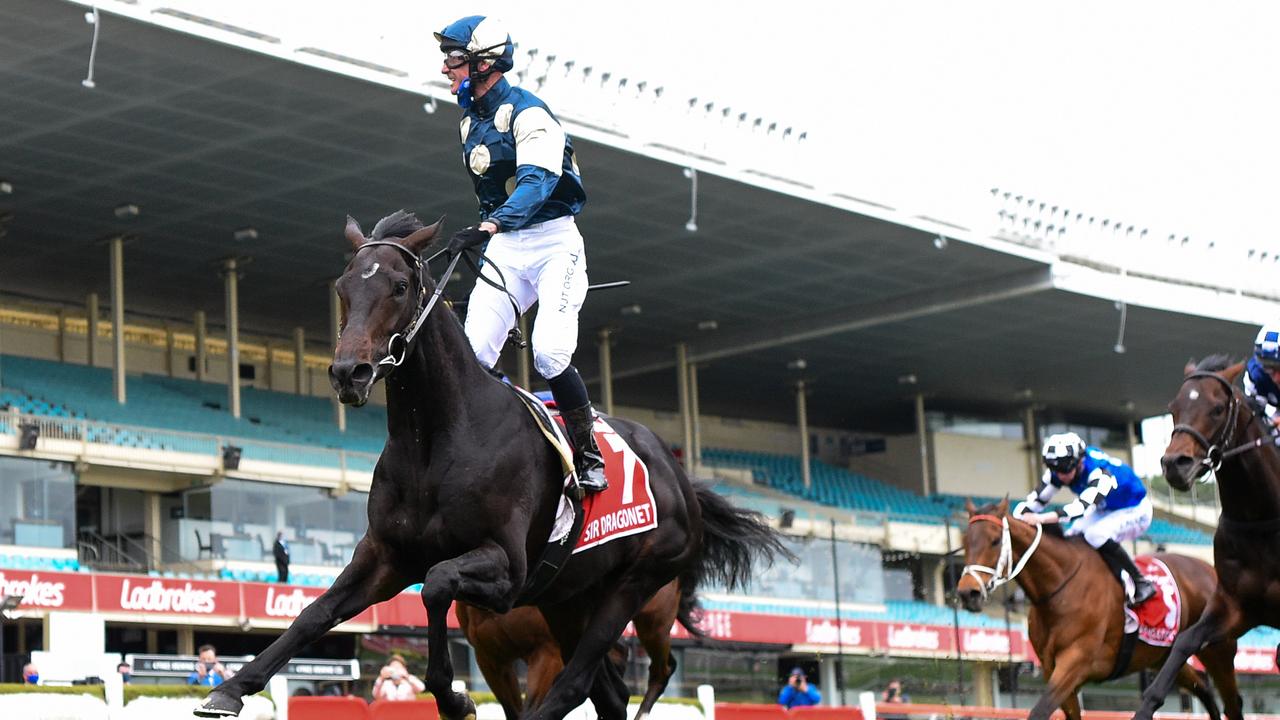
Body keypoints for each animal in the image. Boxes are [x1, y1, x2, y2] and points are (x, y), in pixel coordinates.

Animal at [197, 212, 788, 717]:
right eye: (344, 288)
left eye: (399, 286)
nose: (349, 372)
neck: (438, 440)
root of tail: (678, 473)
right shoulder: (387, 555)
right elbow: (313, 614)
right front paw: (230, 689)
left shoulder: (507, 570)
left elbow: (436, 584)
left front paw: (454, 697)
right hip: (568, 597)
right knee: (608, 693)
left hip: (633, 585)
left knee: (579, 682)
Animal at [962, 497, 1239, 717]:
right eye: (965, 541)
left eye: (995, 541)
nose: (967, 593)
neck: (1060, 587)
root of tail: (1210, 569)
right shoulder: (1053, 670)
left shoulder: (1076, 662)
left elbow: (1040, 711)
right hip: (1163, 656)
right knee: (1203, 687)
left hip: (1218, 649)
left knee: (1231, 699)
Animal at [1131, 356, 1280, 717]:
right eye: (1173, 408)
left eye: (1216, 408)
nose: (1175, 464)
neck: (1260, 520)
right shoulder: (1233, 607)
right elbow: (1185, 642)